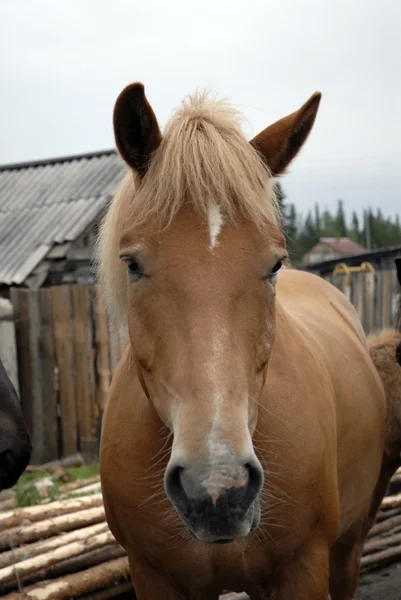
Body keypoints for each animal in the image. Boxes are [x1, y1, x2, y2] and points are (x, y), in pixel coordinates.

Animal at [97, 85, 384, 600]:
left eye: (274, 264)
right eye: (132, 263)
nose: (216, 488)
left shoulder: (303, 570)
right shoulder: (153, 577)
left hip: (348, 548)